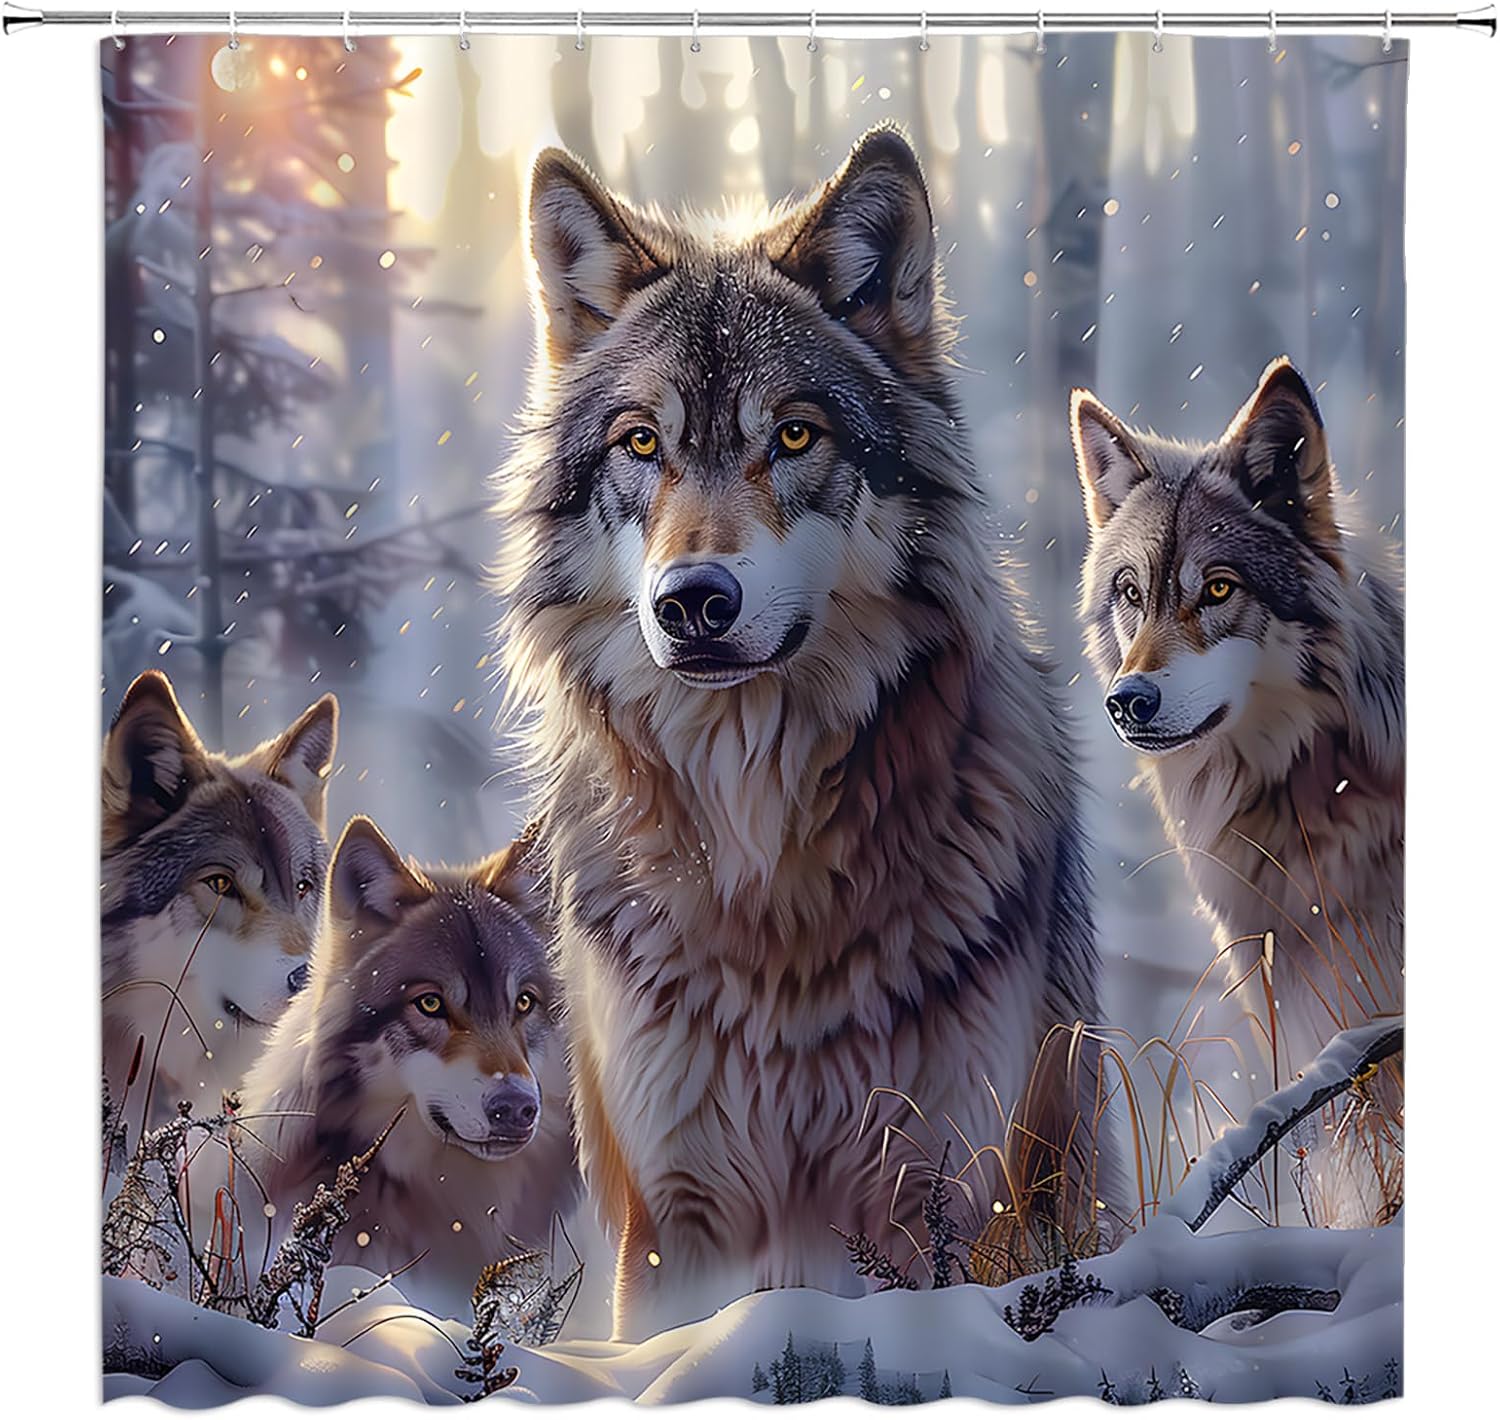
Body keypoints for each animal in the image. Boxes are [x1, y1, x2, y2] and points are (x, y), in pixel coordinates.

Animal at [496, 125, 1116, 1339]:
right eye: (641, 443)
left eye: (793, 434)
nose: (693, 601)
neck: (763, 860)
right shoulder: (671, 1212)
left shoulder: (934, 1192)